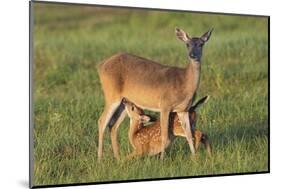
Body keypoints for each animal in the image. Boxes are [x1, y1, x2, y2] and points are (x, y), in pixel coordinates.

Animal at [97, 26, 212, 160]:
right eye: (187, 44)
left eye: (201, 44)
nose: (192, 55)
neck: (184, 82)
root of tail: (101, 65)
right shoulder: (165, 105)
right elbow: (164, 135)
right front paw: (162, 159)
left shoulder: (183, 110)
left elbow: (188, 134)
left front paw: (194, 158)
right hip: (111, 95)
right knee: (102, 121)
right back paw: (99, 159)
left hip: (124, 102)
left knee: (113, 125)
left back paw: (117, 157)